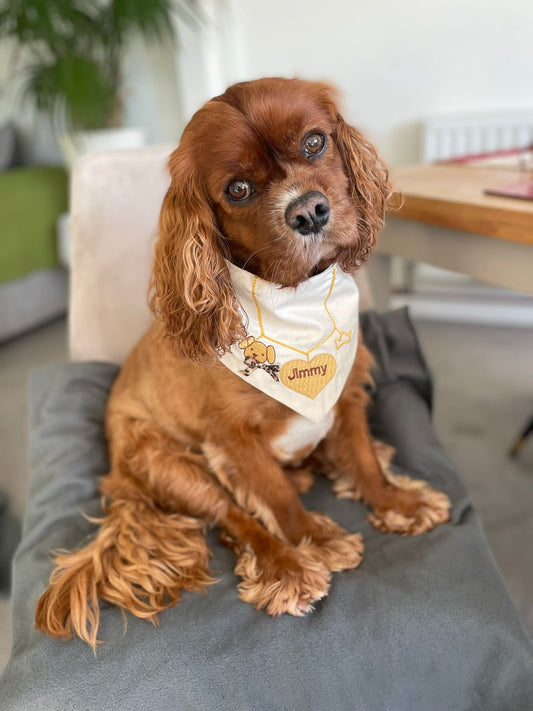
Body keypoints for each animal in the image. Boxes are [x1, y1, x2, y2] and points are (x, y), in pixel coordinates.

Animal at [34, 79, 448, 652]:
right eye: (238, 189)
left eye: (315, 142)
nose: (309, 211)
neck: (297, 304)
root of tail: (120, 482)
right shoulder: (232, 440)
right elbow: (273, 497)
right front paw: (312, 539)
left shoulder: (344, 396)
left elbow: (364, 457)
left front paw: (397, 502)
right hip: (169, 464)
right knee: (235, 519)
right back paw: (286, 568)